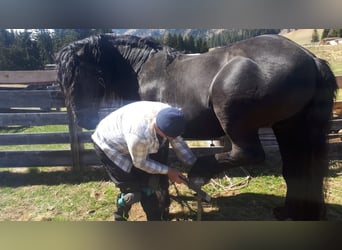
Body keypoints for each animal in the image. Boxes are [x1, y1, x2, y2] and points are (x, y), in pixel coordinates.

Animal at [56, 33, 336, 221]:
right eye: (62, 79)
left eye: (78, 75)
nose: (82, 119)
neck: (142, 70)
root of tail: (311, 59)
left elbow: (156, 176)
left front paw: (161, 208)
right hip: (289, 127)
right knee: (296, 169)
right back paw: (291, 212)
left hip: (236, 119)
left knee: (248, 154)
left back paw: (201, 170)